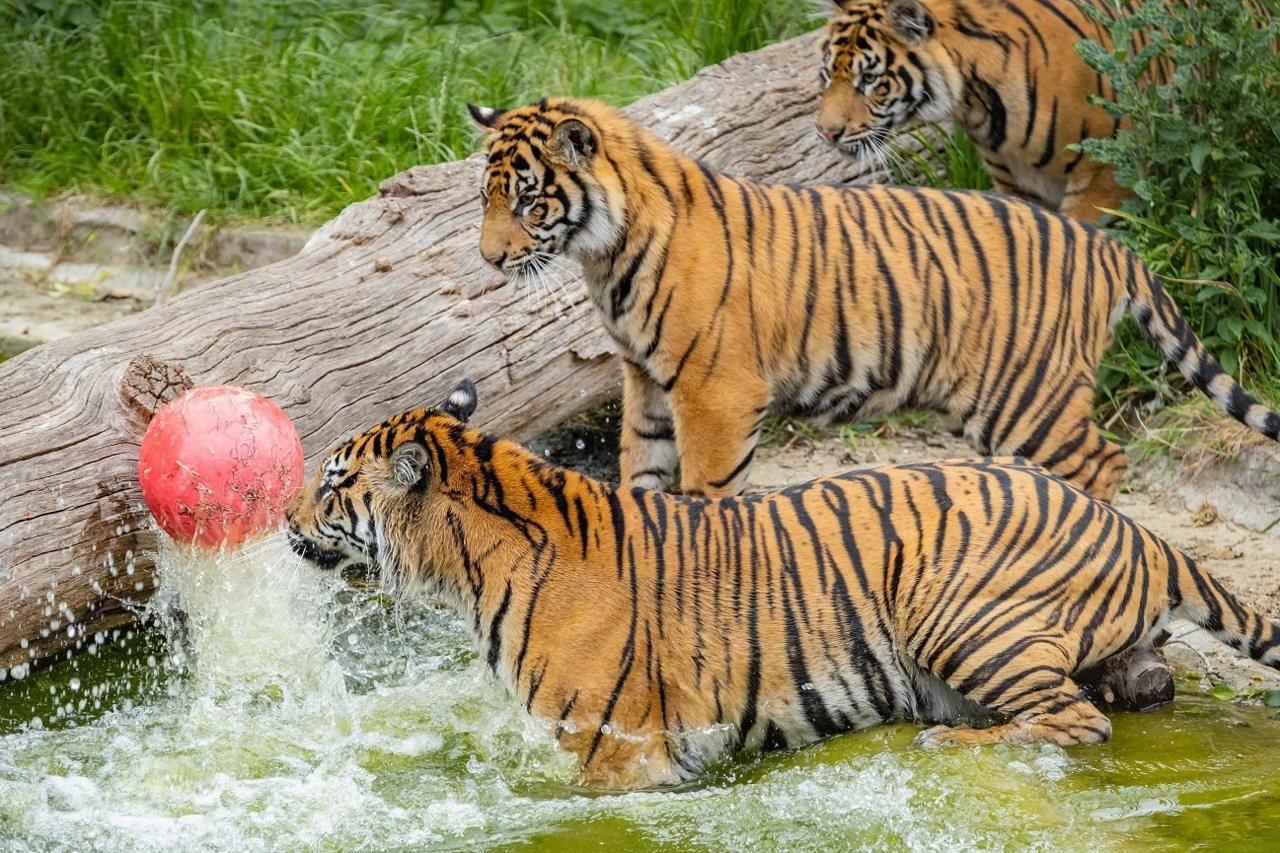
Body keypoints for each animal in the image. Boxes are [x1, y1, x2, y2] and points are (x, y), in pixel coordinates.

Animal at [288, 381, 1280, 788]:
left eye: (332, 481)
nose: (285, 510)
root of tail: (1138, 528)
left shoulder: (618, 750)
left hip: (956, 612)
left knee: (1075, 718)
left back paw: (948, 744)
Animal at [468, 96, 1280, 502]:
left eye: (530, 201)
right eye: (487, 197)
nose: (489, 258)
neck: (603, 256)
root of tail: (1106, 245)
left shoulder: (714, 392)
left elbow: (706, 491)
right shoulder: (646, 383)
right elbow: (641, 476)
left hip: (1029, 401)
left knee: (1104, 462)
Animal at [814, 0, 1167, 222]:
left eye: (869, 79)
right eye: (828, 73)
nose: (827, 133)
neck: (977, 106)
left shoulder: (1105, 173)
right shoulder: (1017, 186)